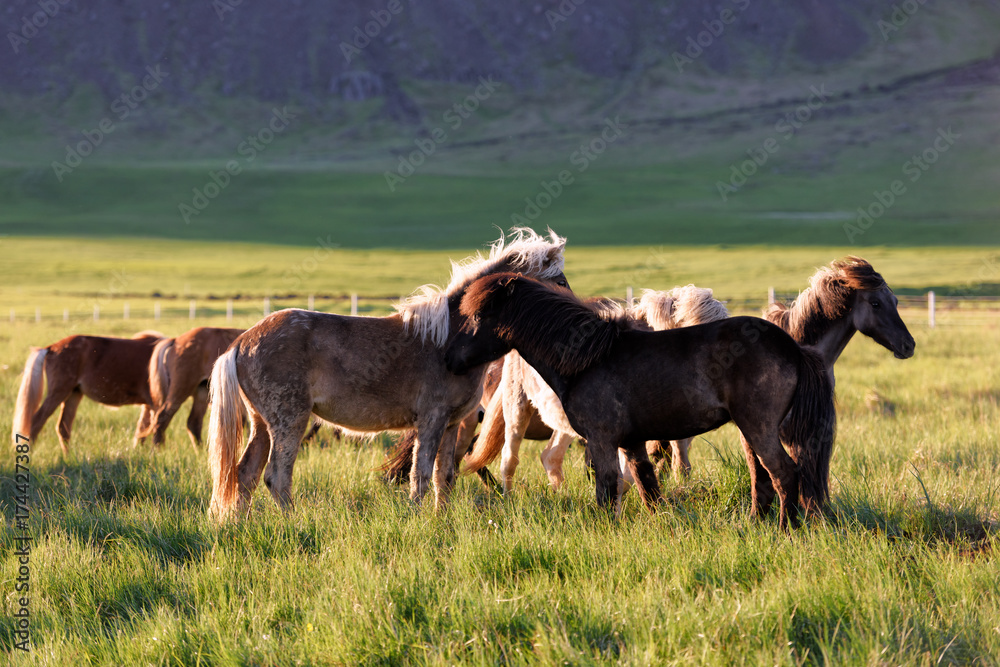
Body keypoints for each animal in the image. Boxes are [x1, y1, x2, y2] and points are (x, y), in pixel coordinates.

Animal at [12, 332, 165, 456]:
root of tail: (52, 348)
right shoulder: (155, 405)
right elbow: (156, 430)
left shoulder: (148, 406)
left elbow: (142, 431)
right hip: (59, 392)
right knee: (36, 422)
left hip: (74, 394)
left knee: (63, 428)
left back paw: (69, 459)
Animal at [446, 274, 836, 528]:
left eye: (477, 315)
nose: (450, 359)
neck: (587, 359)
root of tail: (792, 346)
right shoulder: (632, 443)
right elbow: (649, 489)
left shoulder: (602, 441)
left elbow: (607, 492)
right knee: (762, 477)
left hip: (759, 428)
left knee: (784, 474)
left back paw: (787, 530)